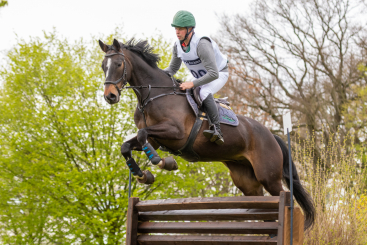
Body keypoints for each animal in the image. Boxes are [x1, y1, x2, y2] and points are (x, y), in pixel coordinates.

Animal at [98, 38, 316, 230]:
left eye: (118, 64)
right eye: (103, 66)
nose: (110, 96)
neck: (154, 95)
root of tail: (273, 136)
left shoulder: (175, 132)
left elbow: (143, 134)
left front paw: (162, 162)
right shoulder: (156, 139)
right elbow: (127, 146)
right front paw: (142, 175)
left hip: (269, 176)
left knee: (286, 199)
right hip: (247, 181)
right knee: (265, 211)